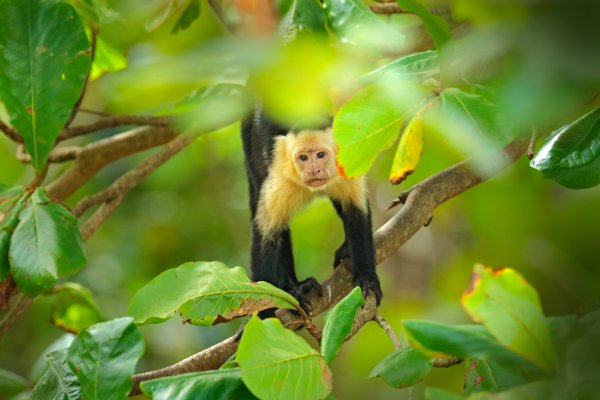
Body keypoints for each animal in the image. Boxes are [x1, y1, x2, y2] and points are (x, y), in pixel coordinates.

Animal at [241, 107, 382, 312]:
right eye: (303, 158)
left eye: (320, 155)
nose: (313, 171)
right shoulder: (280, 177)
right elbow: (266, 237)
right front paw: (264, 312)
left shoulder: (346, 165)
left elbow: (356, 214)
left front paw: (366, 278)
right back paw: (292, 287)